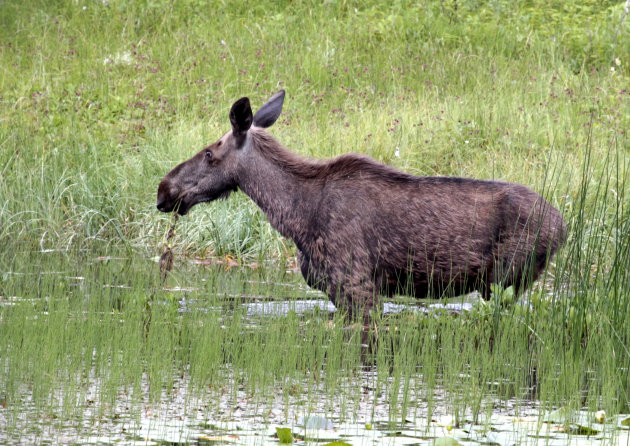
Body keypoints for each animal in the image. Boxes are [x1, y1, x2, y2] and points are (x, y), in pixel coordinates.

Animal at [157, 90, 568, 320]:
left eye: (209, 153)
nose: (164, 190)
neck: (294, 215)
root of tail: (564, 225)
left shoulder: (356, 284)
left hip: (506, 278)